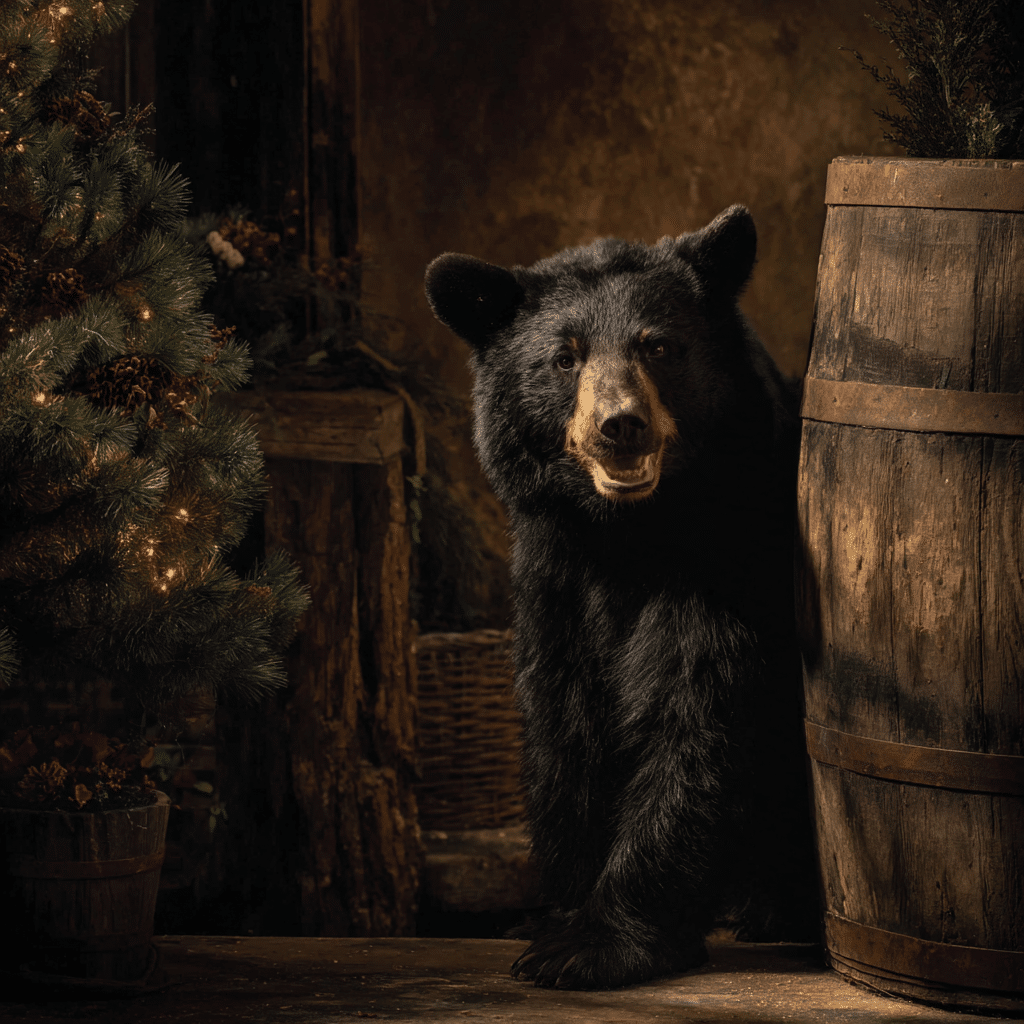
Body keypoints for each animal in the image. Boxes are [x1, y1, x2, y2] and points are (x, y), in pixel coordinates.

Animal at [423, 205, 817, 990]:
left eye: (659, 345)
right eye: (564, 357)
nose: (620, 425)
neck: (628, 536)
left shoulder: (728, 562)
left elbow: (699, 711)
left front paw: (597, 943)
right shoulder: (555, 575)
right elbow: (566, 724)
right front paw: (560, 913)